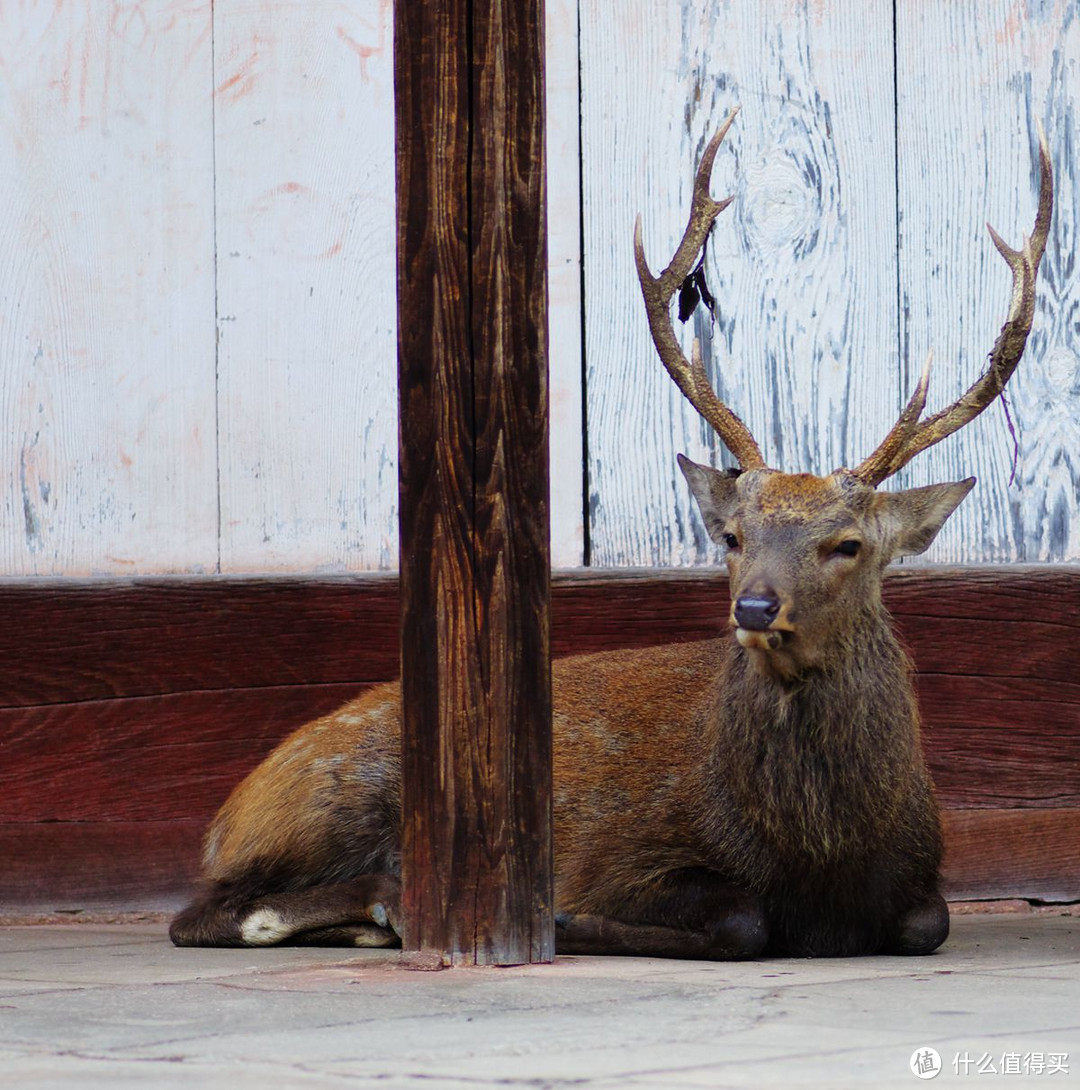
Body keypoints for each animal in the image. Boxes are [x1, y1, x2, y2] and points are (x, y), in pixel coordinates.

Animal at [173, 110, 1050, 959]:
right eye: (733, 537)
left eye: (849, 545)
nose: (755, 609)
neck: (820, 858)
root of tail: (228, 811)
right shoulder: (622, 854)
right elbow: (743, 921)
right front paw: (563, 921)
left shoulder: (920, 877)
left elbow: (926, 922)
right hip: (322, 800)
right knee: (205, 911)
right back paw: (391, 903)